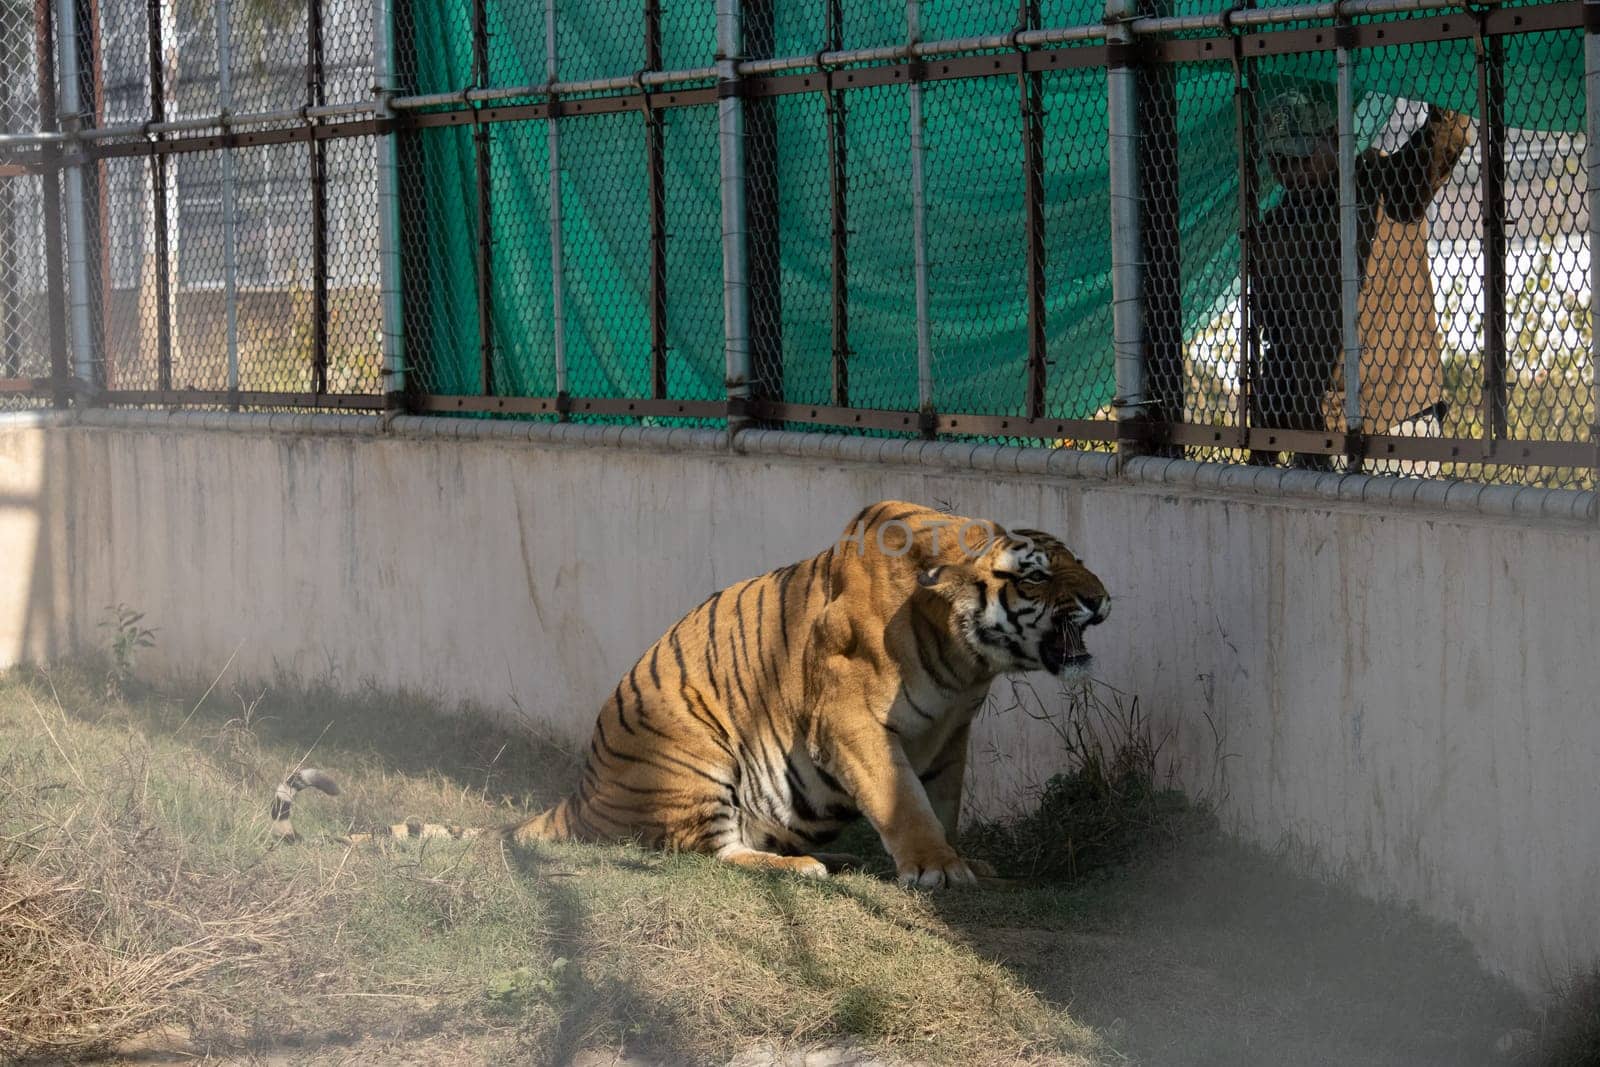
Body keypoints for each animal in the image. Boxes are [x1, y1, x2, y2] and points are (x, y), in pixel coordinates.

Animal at [268, 505, 1107, 889]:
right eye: (1036, 575)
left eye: (1078, 562)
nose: (1104, 599)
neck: (968, 662)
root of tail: (581, 795)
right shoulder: (849, 724)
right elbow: (903, 802)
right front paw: (938, 868)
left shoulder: (950, 735)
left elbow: (938, 799)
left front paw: (959, 860)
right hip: (696, 754)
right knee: (707, 853)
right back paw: (802, 867)